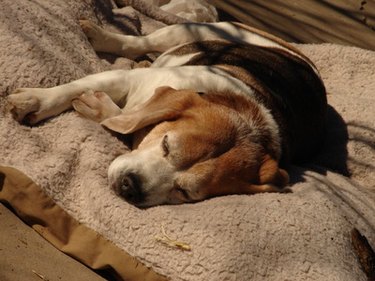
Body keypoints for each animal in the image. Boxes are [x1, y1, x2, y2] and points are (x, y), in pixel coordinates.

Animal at [7, 20, 328, 207]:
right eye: (166, 145)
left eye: (184, 193)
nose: (130, 188)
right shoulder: (127, 79)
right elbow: (71, 89)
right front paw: (35, 101)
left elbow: (117, 114)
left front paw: (99, 108)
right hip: (191, 30)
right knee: (140, 42)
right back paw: (101, 37)